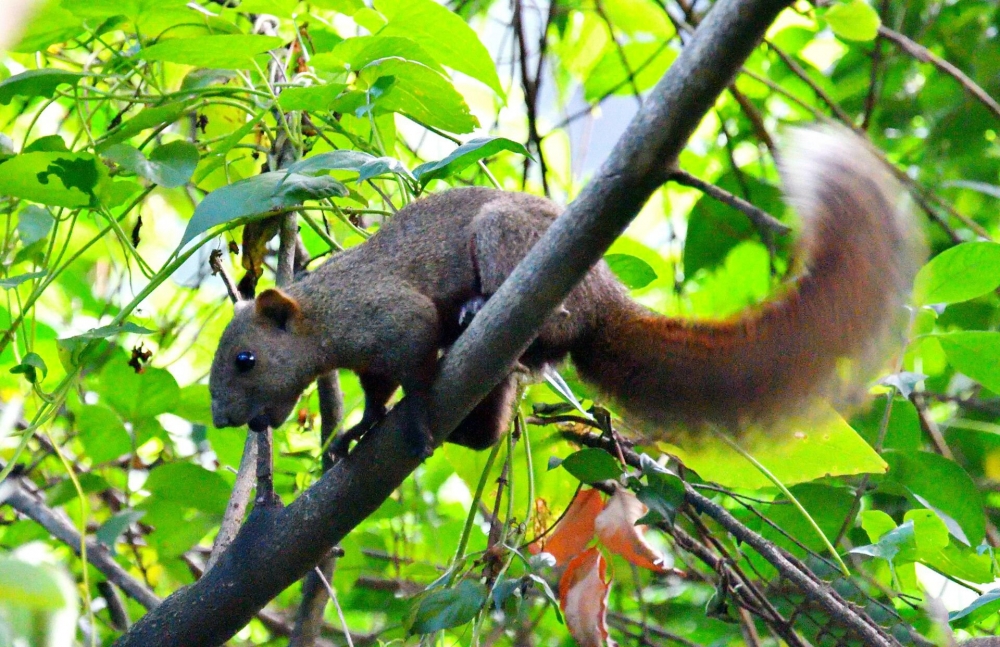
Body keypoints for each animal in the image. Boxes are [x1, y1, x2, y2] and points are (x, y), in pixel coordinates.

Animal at [207, 126, 924, 456]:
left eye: (245, 360)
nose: (222, 419)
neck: (324, 313)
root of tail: (606, 298)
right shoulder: (365, 353)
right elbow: (375, 389)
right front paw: (358, 430)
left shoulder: (388, 315)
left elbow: (410, 364)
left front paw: (406, 414)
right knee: (491, 426)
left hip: (505, 239)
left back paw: (477, 314)